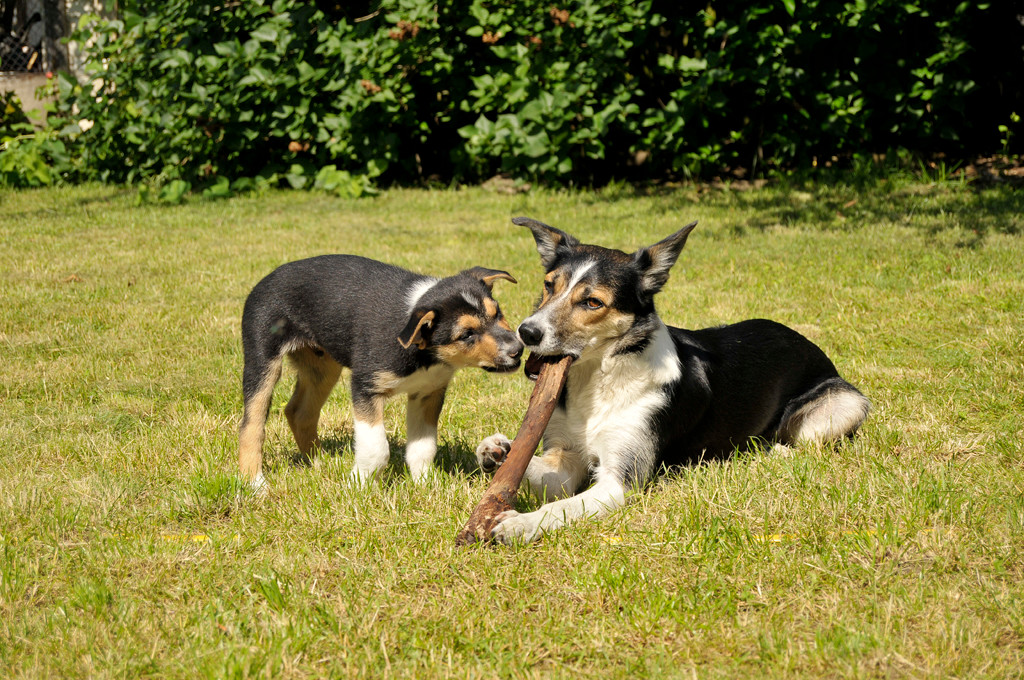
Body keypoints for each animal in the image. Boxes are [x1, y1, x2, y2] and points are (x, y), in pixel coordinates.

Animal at [240, 253, 524, 489]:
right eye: (466, 334)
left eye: (497, 313)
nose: (518, 349)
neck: (423, 352)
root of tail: (268, 278)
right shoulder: (366, 387)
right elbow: (376, 449)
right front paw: (358, 487)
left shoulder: (427, 392)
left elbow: (423, 447)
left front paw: (426, 484)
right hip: (262, 358)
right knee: (252, 425)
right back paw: (254, 483)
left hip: (322, 368)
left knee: (299, 413)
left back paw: (320, 463)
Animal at [475, 220, 868, 544]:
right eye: (548, 285)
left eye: (592, 302)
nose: (526, 332)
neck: (599, 379)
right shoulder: (566, 457)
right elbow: (533, 471)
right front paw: (497, 450)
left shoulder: (621, 481)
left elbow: (562, 508)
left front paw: (521, 524)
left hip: (844, 405)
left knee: (806, 442)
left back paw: (772, 451)